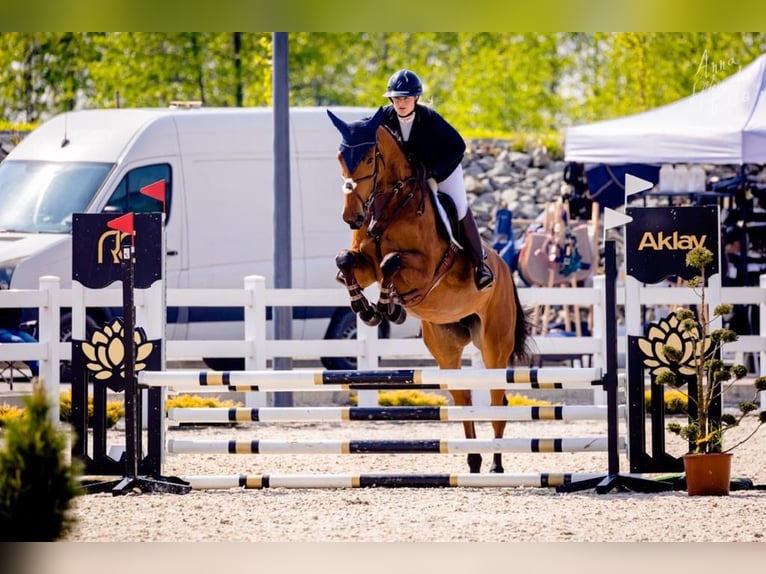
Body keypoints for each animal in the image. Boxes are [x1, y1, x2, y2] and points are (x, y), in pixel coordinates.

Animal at [328, 106, 532, 474]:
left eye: (369, 158)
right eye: (340, 157)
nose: (352, 217)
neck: (389, 204)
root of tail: (505, 269)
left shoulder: (424, 269)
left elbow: (392, 262)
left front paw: (388, 306)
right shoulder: (365, 264)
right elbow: (346, 261)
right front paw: (366, 307)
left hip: (495, 344)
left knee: (497, 398)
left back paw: (495, 464)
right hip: (445, 345)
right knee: (464, 398)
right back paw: (474, 460)